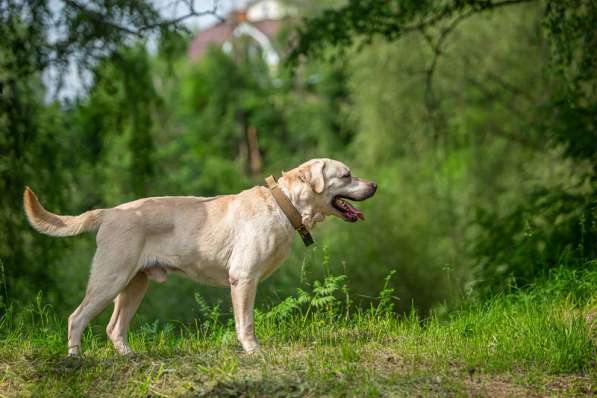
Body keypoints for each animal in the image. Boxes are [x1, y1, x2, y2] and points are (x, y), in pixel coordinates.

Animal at [24, 158, 378, 354]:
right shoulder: (243, 279)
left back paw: (129, 356)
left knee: (114, 328)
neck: (284, 205)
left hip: (134, 286)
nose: (374, 185)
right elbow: (246, 322)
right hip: (109, 279)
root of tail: (110, 212)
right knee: (76, 318)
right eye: (346, 175)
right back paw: (75, 359)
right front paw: (253, 351)